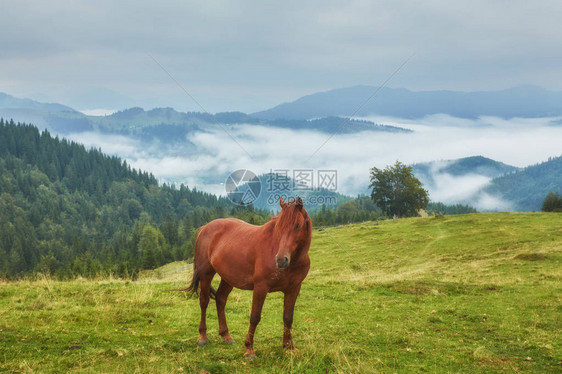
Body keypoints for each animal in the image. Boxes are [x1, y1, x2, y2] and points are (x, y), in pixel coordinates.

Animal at [187, 197, 310, 358]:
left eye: (297, 225)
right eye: (279, 226)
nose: (281, 260)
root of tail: (205, 228)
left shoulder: (293, 288)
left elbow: (288, 317)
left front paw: (289, 346)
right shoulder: (260, 288)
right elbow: (255, 317)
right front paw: (249, 349)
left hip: (228, 278)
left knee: (220, 299)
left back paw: (226, 336)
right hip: (206, 274)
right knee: (204, 301)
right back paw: (203, 337)